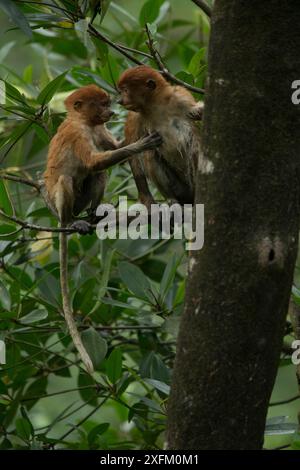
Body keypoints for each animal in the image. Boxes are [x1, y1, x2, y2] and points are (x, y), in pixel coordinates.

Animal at [44, 82, 162, 372]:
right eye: (101, 103)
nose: (110, 111)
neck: (84, 121)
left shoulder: (99, 129)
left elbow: (110, 154)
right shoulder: (77, 133)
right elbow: (93, 161)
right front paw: (143, 142)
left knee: (99, 175)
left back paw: (94, 216)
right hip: (57, 201)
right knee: (70, 177)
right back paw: (72, 222)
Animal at [117, 65, 204, 207]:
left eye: (125, 90)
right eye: (122, 91)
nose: (119, 100)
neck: (155, 104)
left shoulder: (181, 96)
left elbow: (197, 111)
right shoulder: (134, 117)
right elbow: (133, 152)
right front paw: (147, 199)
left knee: (194, 146)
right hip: (179, 188)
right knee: (150, 152)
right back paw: (172, 199)